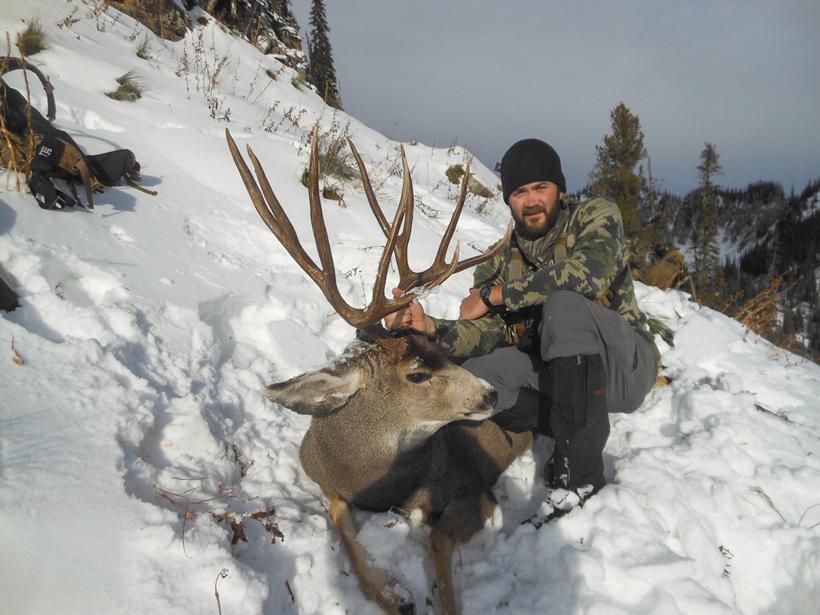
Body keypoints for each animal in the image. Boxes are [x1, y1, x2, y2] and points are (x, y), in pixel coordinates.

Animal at [226, 126, 533, 615]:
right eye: (417, 373)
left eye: (439, 349)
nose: (490, 395)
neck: (377, 483)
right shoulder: (328, 484)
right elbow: (338, 516)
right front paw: (391, 593)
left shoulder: (475, 487)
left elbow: (437, 539)